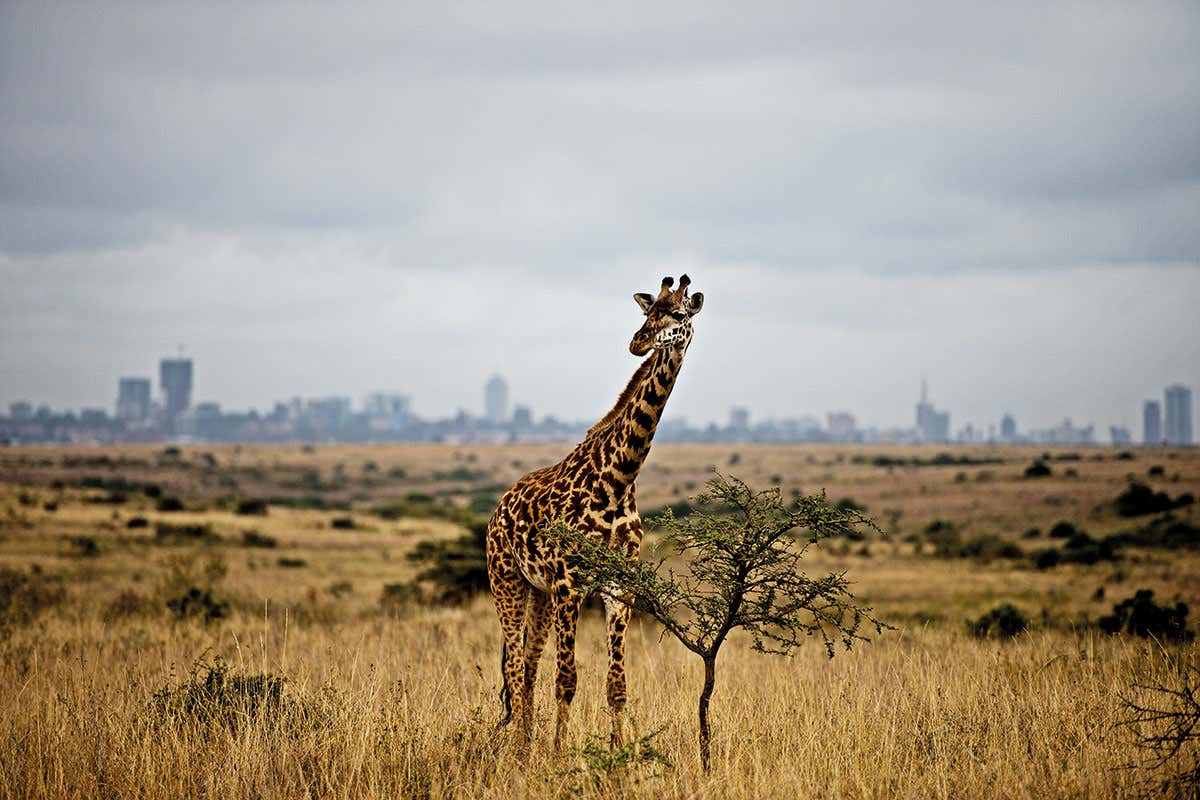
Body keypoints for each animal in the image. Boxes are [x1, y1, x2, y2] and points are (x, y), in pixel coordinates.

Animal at [486, 274, 704, 751]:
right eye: (647, 312)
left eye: (679, 314)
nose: (639, 342)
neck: (618, 478)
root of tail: (498, 508)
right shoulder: (571, 583)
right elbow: (567, 679)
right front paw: (559, 754)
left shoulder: (618, 586)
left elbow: (616, 684)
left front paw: (619, 753)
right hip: (506, 581)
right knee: (513, 663)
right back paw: (521, 748)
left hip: (539, 591)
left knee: (528, 661)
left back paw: (525, 743)